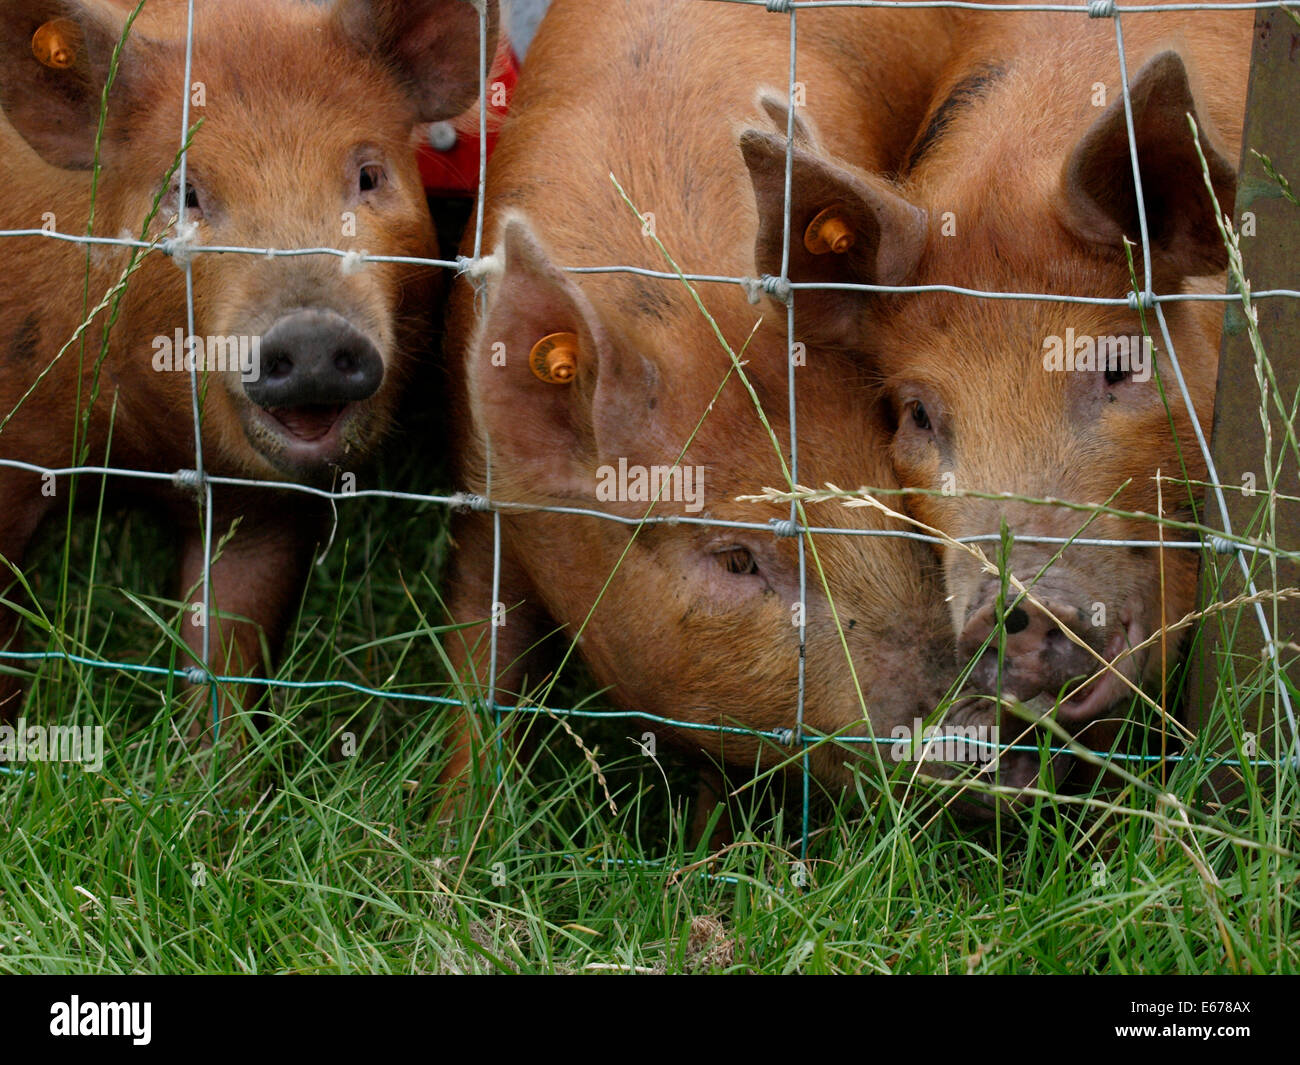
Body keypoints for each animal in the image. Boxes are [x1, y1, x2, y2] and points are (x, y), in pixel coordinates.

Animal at [0, 0, 496, 727]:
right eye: (185, 193)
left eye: (369, 175)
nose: (313, 336)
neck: (148, 453)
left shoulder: (261, 508)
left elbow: (226, 650)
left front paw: (206, 757)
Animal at [440, 0, 1024, 812]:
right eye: (737, 557)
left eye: (891, 494)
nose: (981, 729)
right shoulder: (482, 487)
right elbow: (478, 658)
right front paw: (453, 826)